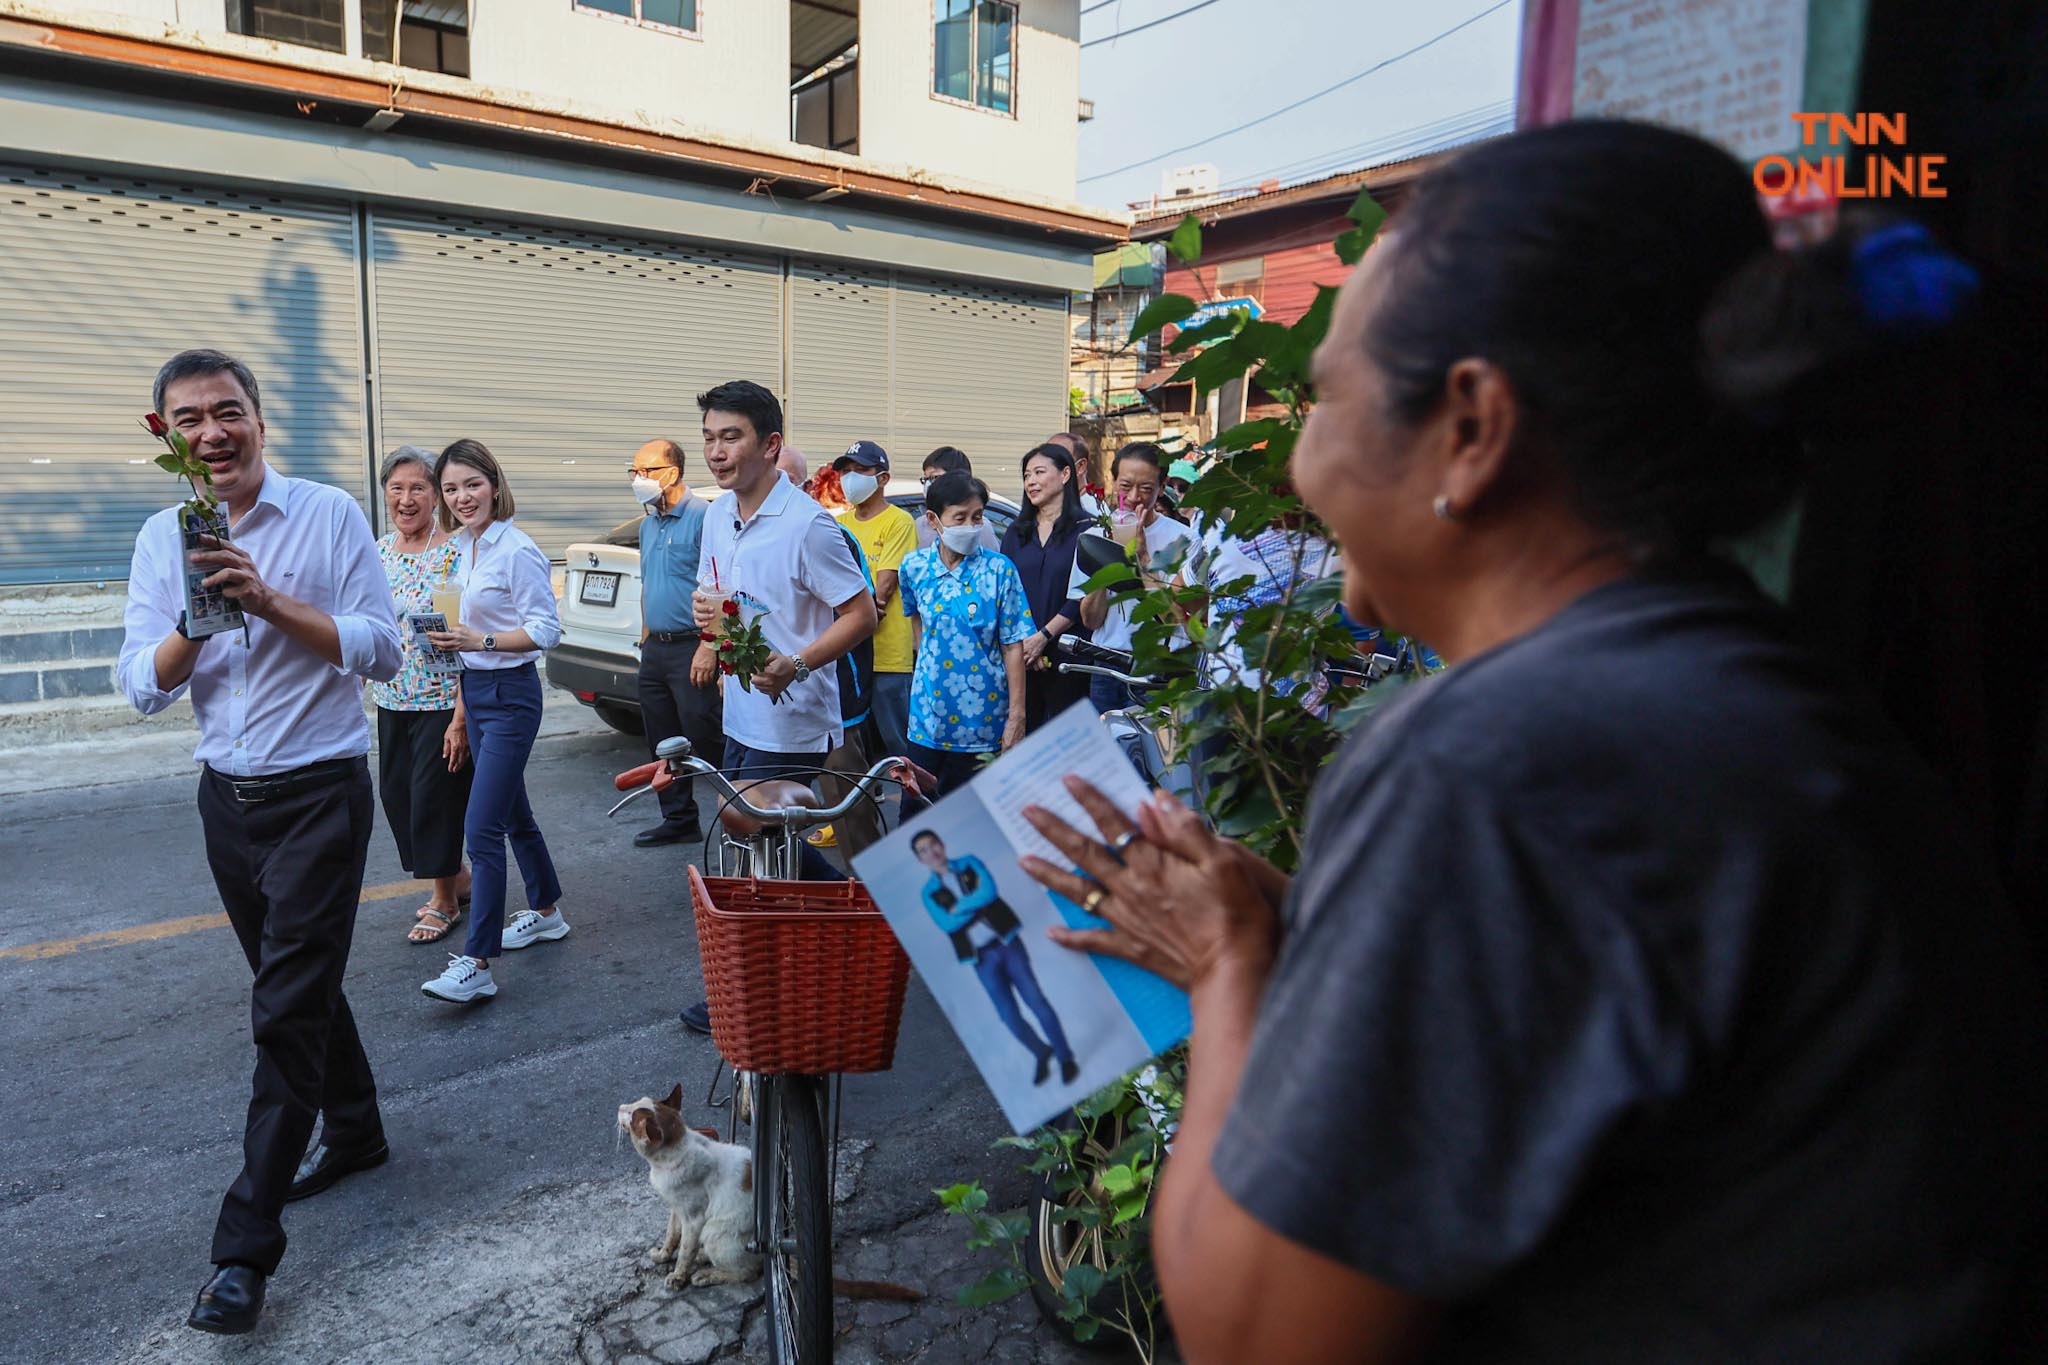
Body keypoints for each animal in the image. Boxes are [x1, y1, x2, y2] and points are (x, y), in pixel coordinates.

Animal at [618, 1088, 765, 1293]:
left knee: (748, 1271)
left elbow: (684, 1253)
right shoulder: (676, 1209)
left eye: (631, 1115)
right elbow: (672, 1236)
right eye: (636, 1101)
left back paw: (704, 1275)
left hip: (712, 1232)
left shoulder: (694, 1220)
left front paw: (678, 1278)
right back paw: (702, 1256)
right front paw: (662, 1256)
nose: (620, 1107)